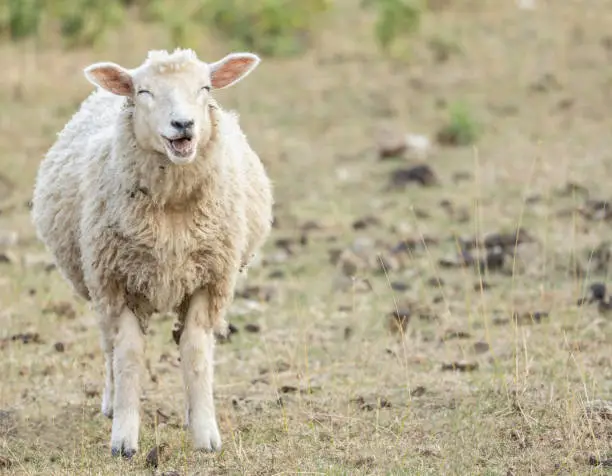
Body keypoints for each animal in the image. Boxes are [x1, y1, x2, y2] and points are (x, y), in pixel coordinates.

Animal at [29, 47, 274, 458]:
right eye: (143, 92)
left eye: (205, 88)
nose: (183, 124)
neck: (172, 210)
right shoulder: (117, 281)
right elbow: (128, 355)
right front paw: (124, 439)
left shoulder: (209, 279)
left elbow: (195, 352)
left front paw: (205, 433)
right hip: (96, 284)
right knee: (109, 347)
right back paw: (111, 404)